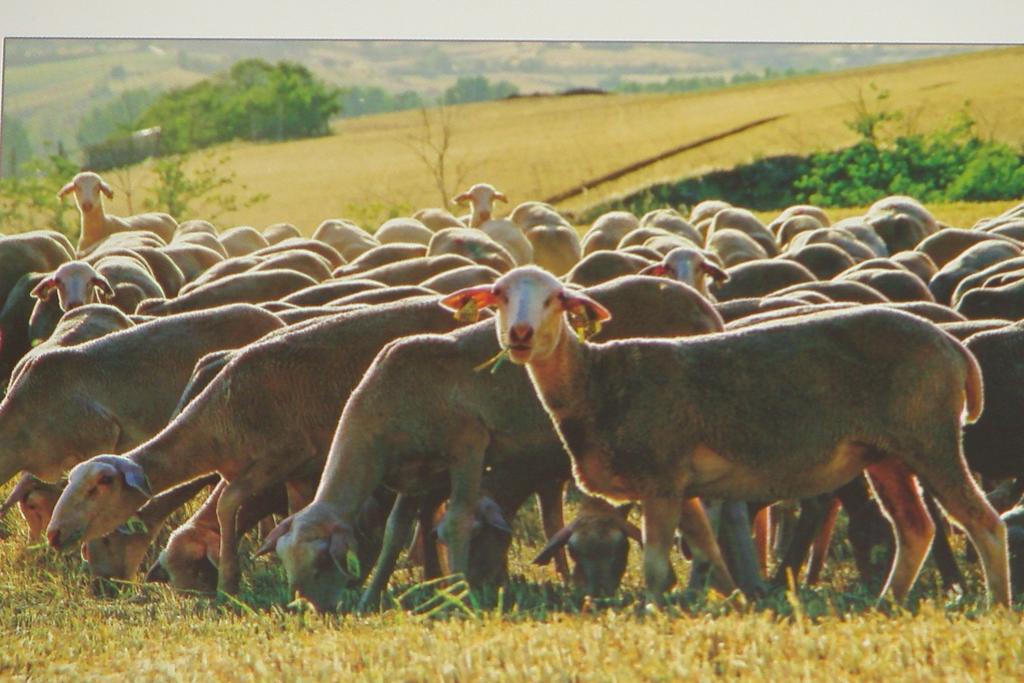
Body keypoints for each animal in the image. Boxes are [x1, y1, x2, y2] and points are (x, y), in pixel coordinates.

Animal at [46, 296, 477, 593]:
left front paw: (230, 582)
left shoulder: (282, 458)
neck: (216, 427)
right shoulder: (300, 473)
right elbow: (295, 512)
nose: (54, 534)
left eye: (99, 486)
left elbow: (227, 503)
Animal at [260, 274, 733, 610]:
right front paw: (370, 597)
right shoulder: (418, 475)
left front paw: (457, 597)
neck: (378, 410)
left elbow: (453, 523)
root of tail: (703, 305)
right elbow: (397, 532)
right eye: (287, 566)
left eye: (324, 561)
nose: (324, 610)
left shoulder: (468, 446)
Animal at [444, 264, 1011, 606]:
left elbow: (656, 567)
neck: (596, 380)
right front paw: (728, 601)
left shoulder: (661, 478)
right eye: (499, 297)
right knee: (915, 529)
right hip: (885, 453)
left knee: (983, 523)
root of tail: (954, 349)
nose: (519, 336)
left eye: (556, 300)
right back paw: (886, 603)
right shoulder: (686, 488)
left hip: (930, 437)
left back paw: (996, 604)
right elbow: (708, 553)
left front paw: (652, 614)